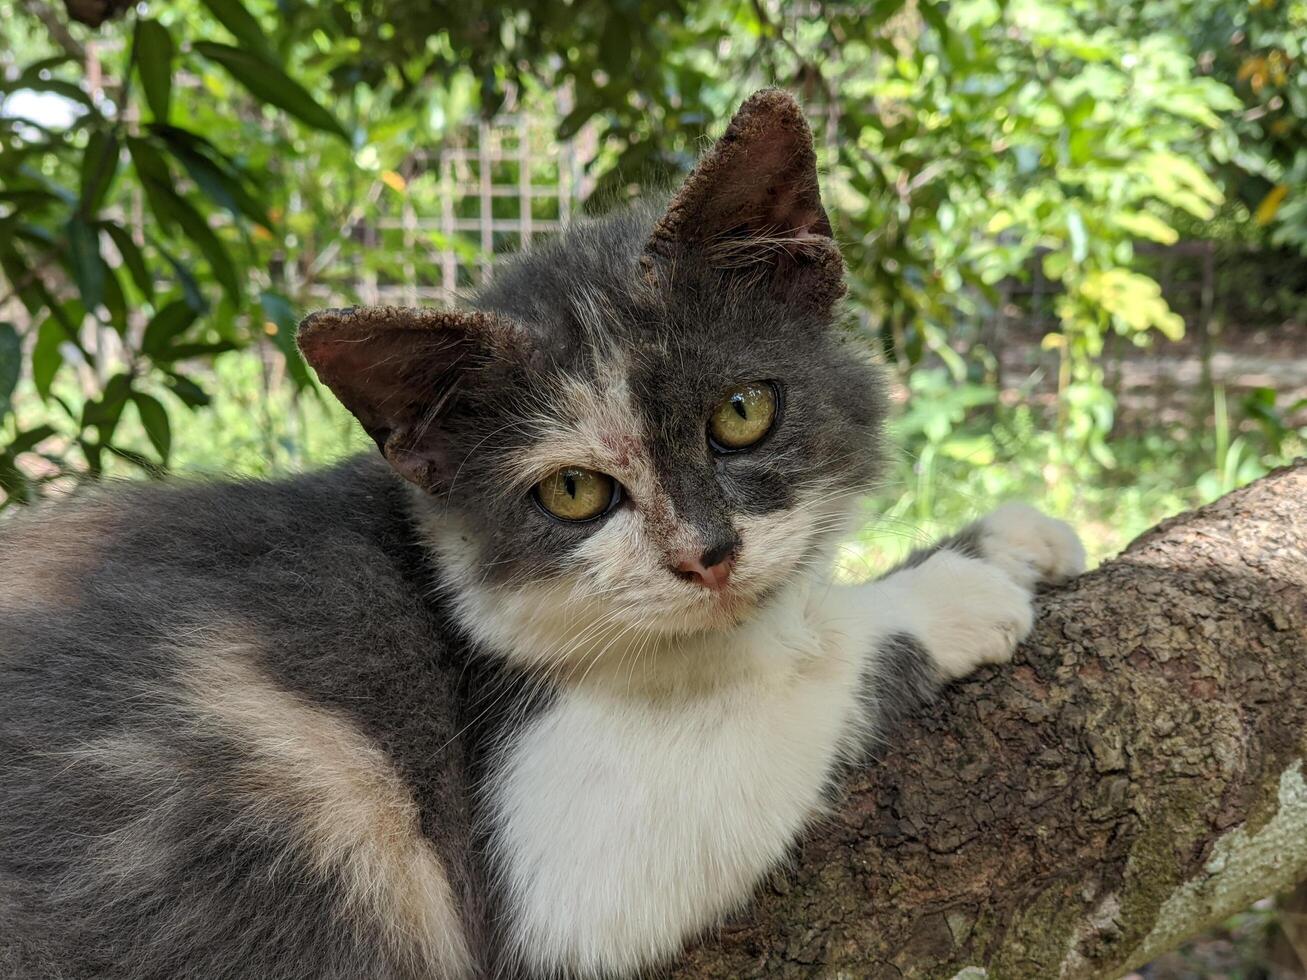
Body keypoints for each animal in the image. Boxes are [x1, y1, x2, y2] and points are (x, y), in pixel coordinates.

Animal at [0, 88, 1082, 977]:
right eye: (572, 491)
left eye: (741, 412)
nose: (705, 555)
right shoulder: (549, 843)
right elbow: (777, 686)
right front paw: (944, 593)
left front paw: (1007, 536)